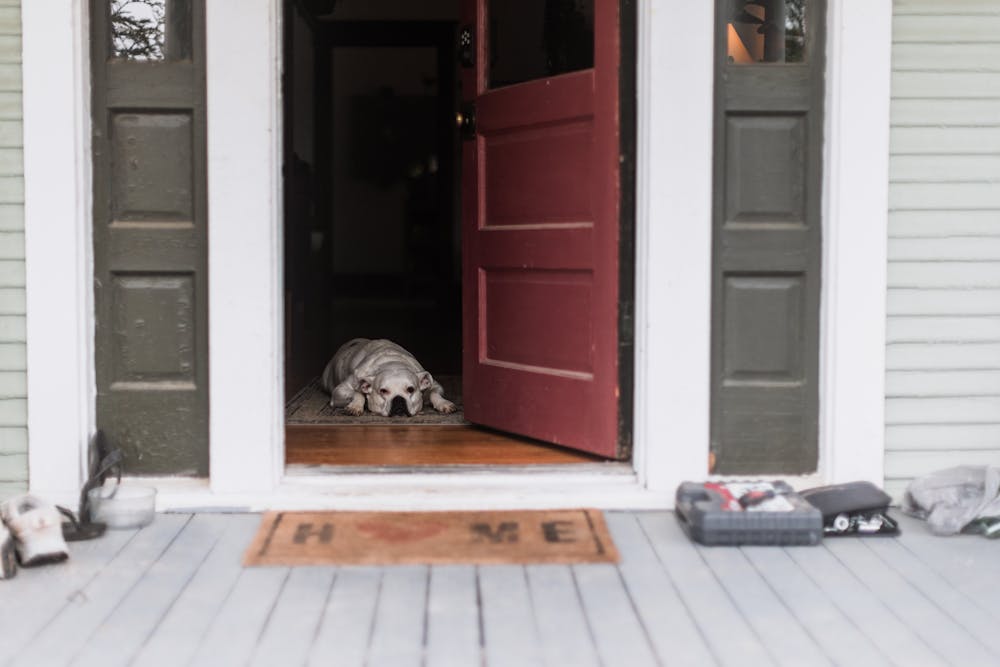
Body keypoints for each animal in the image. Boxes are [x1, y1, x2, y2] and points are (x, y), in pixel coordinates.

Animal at [320, 340, 458, 418]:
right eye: (383, 391)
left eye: (411, 389)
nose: (398, 399)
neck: (393, 363)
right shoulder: (339, 391)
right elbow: (357, 392)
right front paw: (355, 406)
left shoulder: (434, 385)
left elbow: (434, 393)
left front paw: (443, 403)